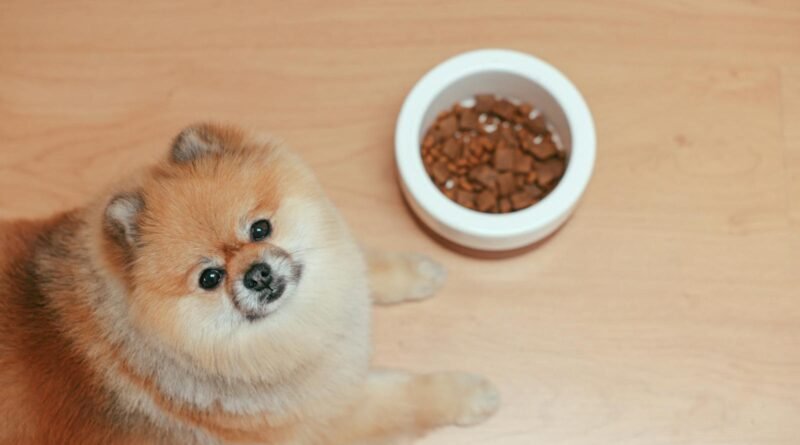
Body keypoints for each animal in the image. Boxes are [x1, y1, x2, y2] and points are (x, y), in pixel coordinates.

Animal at [0, 122, 500, 444]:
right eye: (210, 277)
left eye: (260, 229)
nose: (257, 273)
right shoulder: (331, 419)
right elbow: (410, 399)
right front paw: (472, 394)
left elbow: (360, 263)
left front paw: (415, 271)